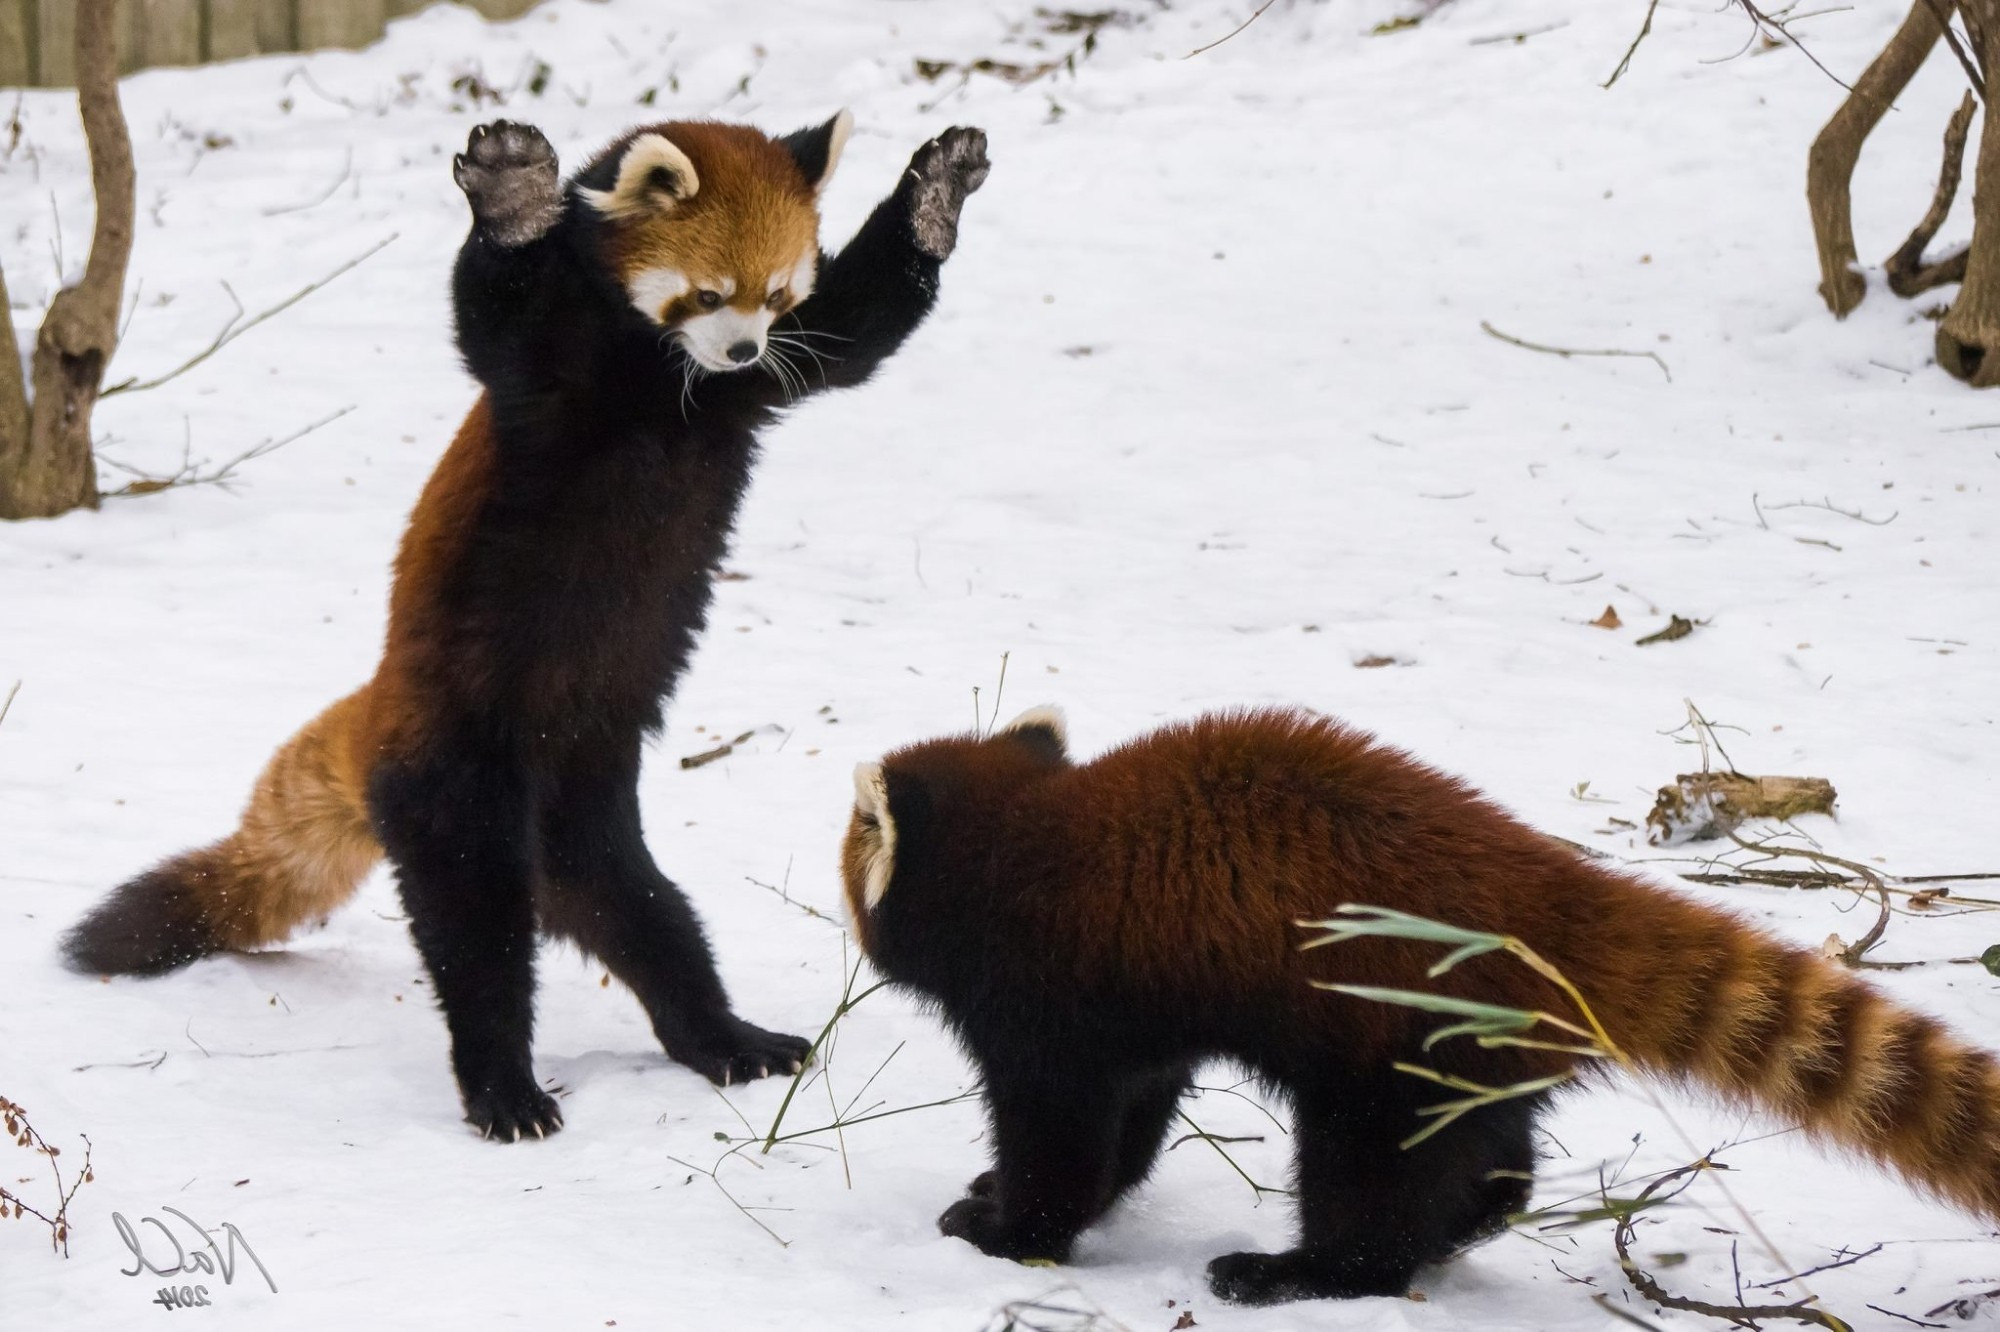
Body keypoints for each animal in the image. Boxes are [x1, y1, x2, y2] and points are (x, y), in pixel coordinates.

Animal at [64, 111, 992, 1144]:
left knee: (650, 917)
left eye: (777, 294)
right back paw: (505, 1087)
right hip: (454, 776)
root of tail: (377, 711)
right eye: (709, 293)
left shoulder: (765, 382)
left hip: (585, 813)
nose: (746, 350)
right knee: (479, 936)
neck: (665, 379)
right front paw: (511, 196)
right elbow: (492, 308)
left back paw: (724, 1038)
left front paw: (935, 194)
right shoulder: (545, 369)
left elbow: (858, 329)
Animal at [836, 712, 2000, 1304]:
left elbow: (1065, 1145)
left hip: (1385, 1036)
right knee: (1484, 1145)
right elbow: (1128, 1126)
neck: (1025, 843)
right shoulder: (1136, 1010)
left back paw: (1298, 1270)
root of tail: (1544, 891)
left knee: (1367, 1178)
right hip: (1469, 1042)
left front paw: (1004, 1230)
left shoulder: (1049, 998)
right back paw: (1471, 1216)